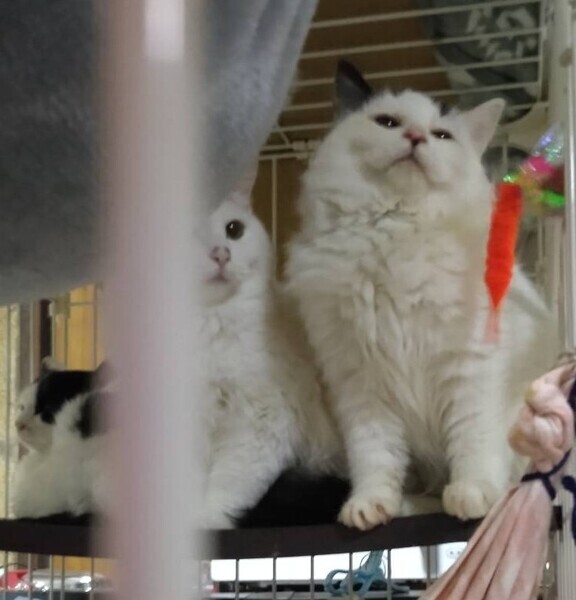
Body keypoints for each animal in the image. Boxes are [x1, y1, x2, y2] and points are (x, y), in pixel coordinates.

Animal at [285, 60, 557, 531]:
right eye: (388, 123)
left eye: (442, 136)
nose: (414, 138)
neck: (395, 232)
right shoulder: (359, 384)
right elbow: (375, 457)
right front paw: (370, 505)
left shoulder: (470, 368)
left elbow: (472, 439)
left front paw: (472, 493)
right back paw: (406, 505)